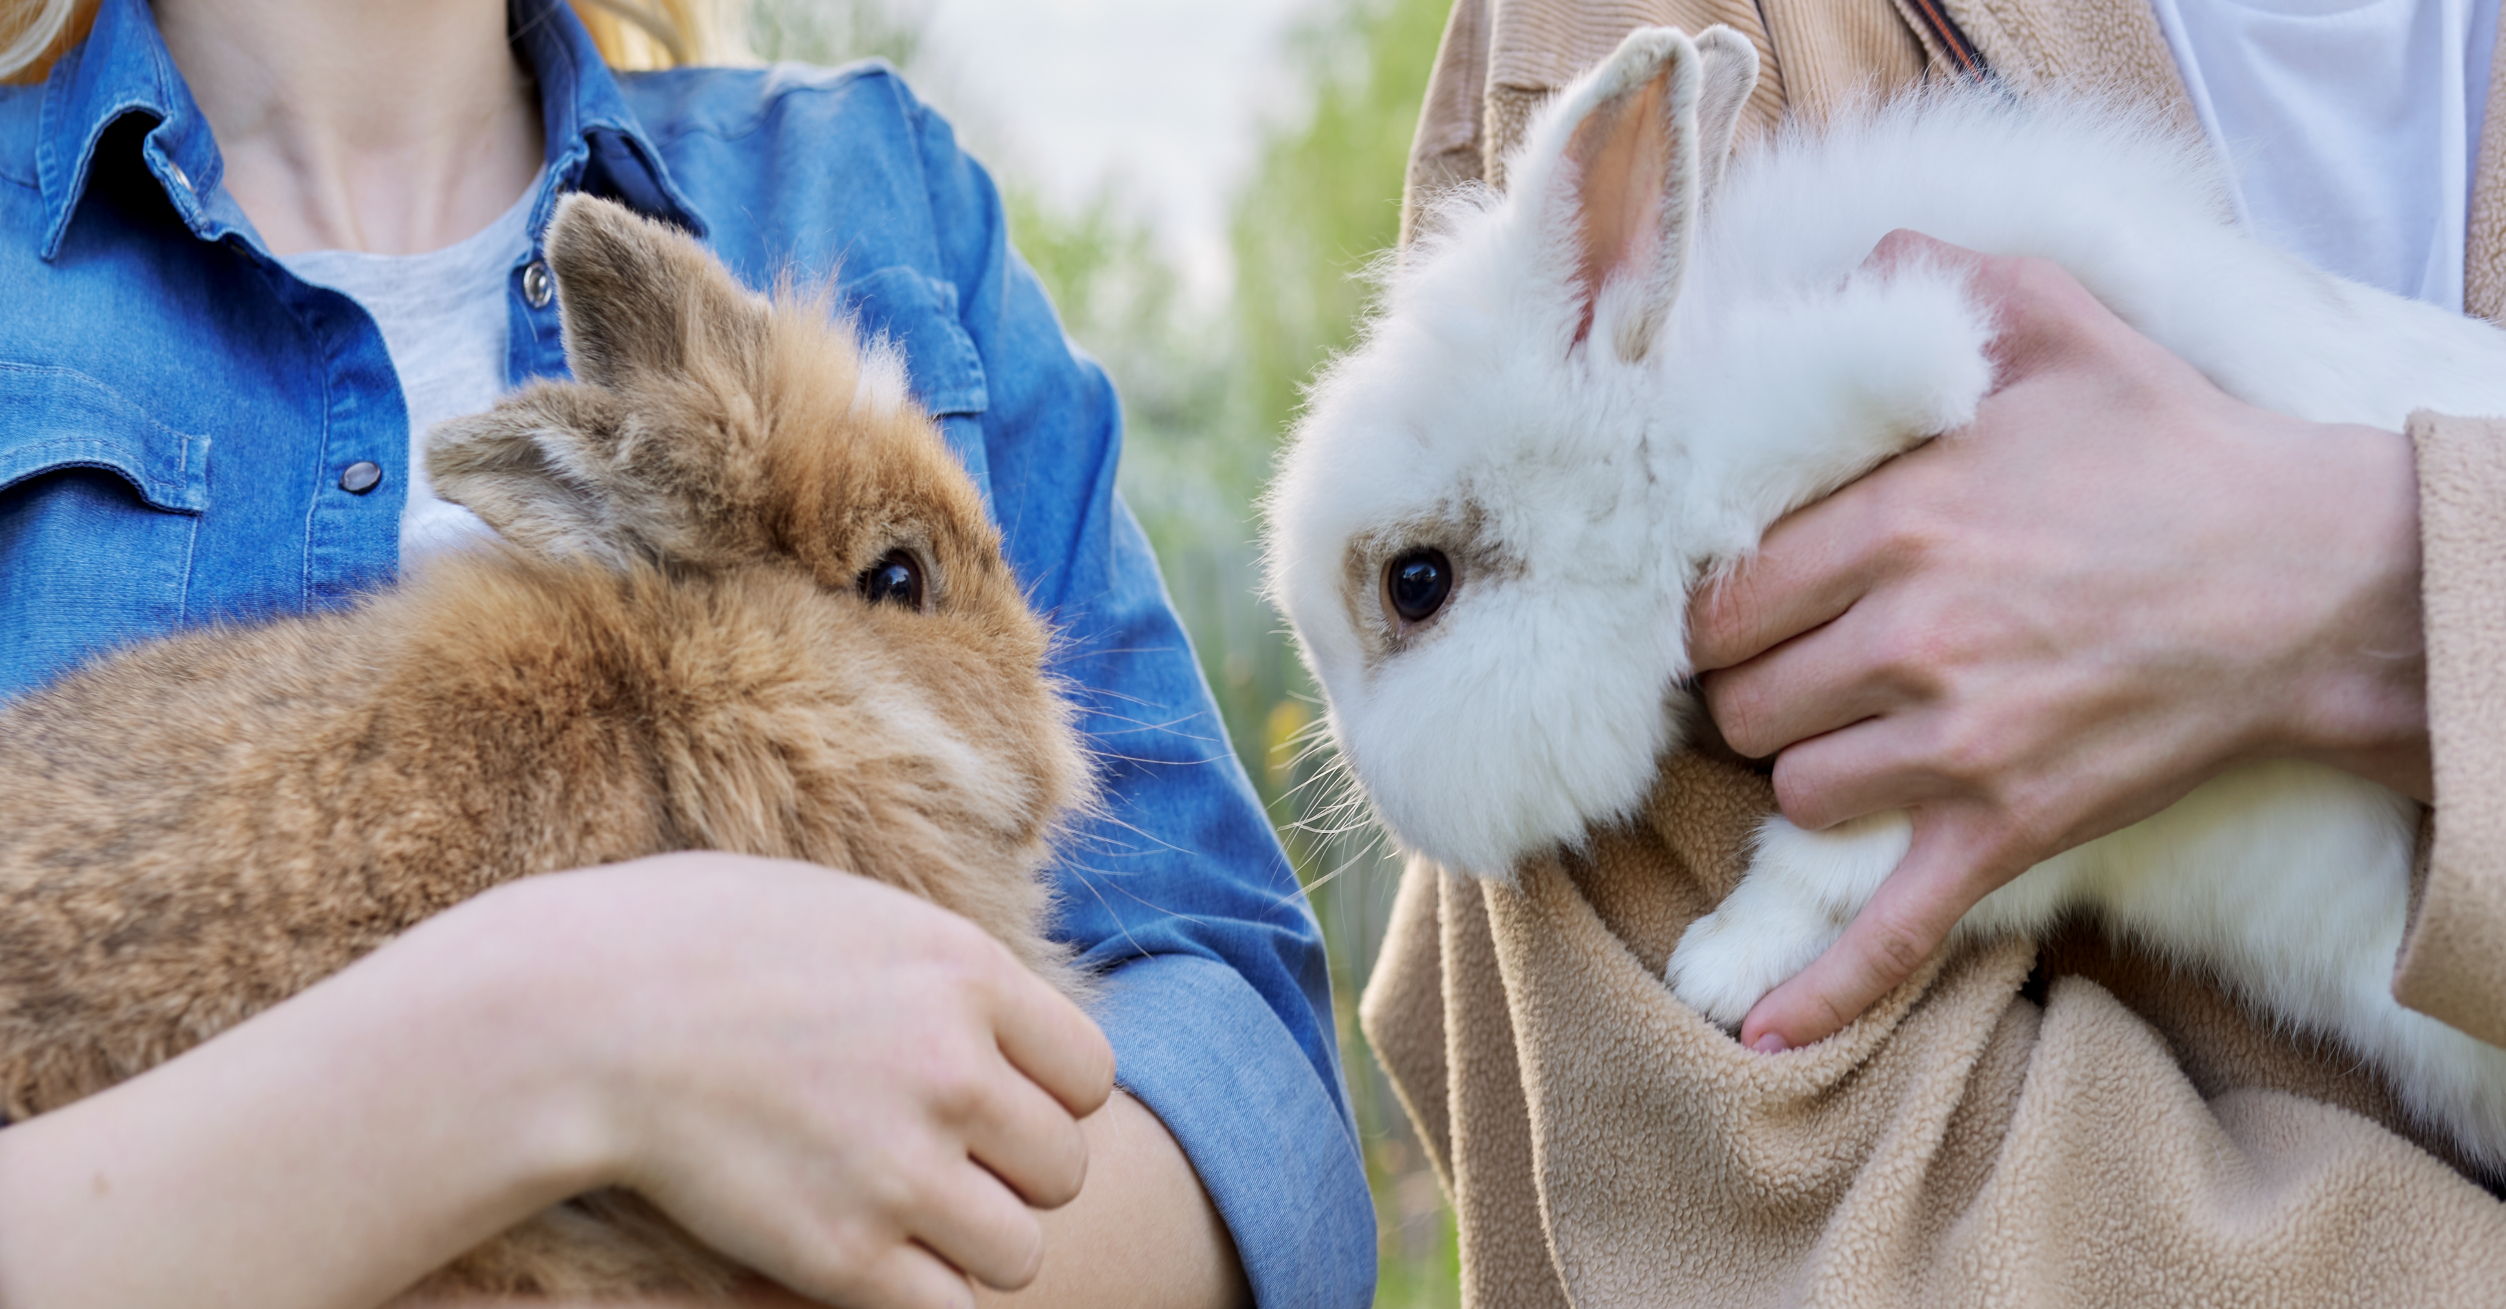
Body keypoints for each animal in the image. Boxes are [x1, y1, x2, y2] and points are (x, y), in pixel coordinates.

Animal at [1265, 24, 2506, 1174]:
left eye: (1414, 583)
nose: (1382, 799)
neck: (1684, 436)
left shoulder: (1996, 788)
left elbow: (1834, 859)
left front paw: (1714, 968)